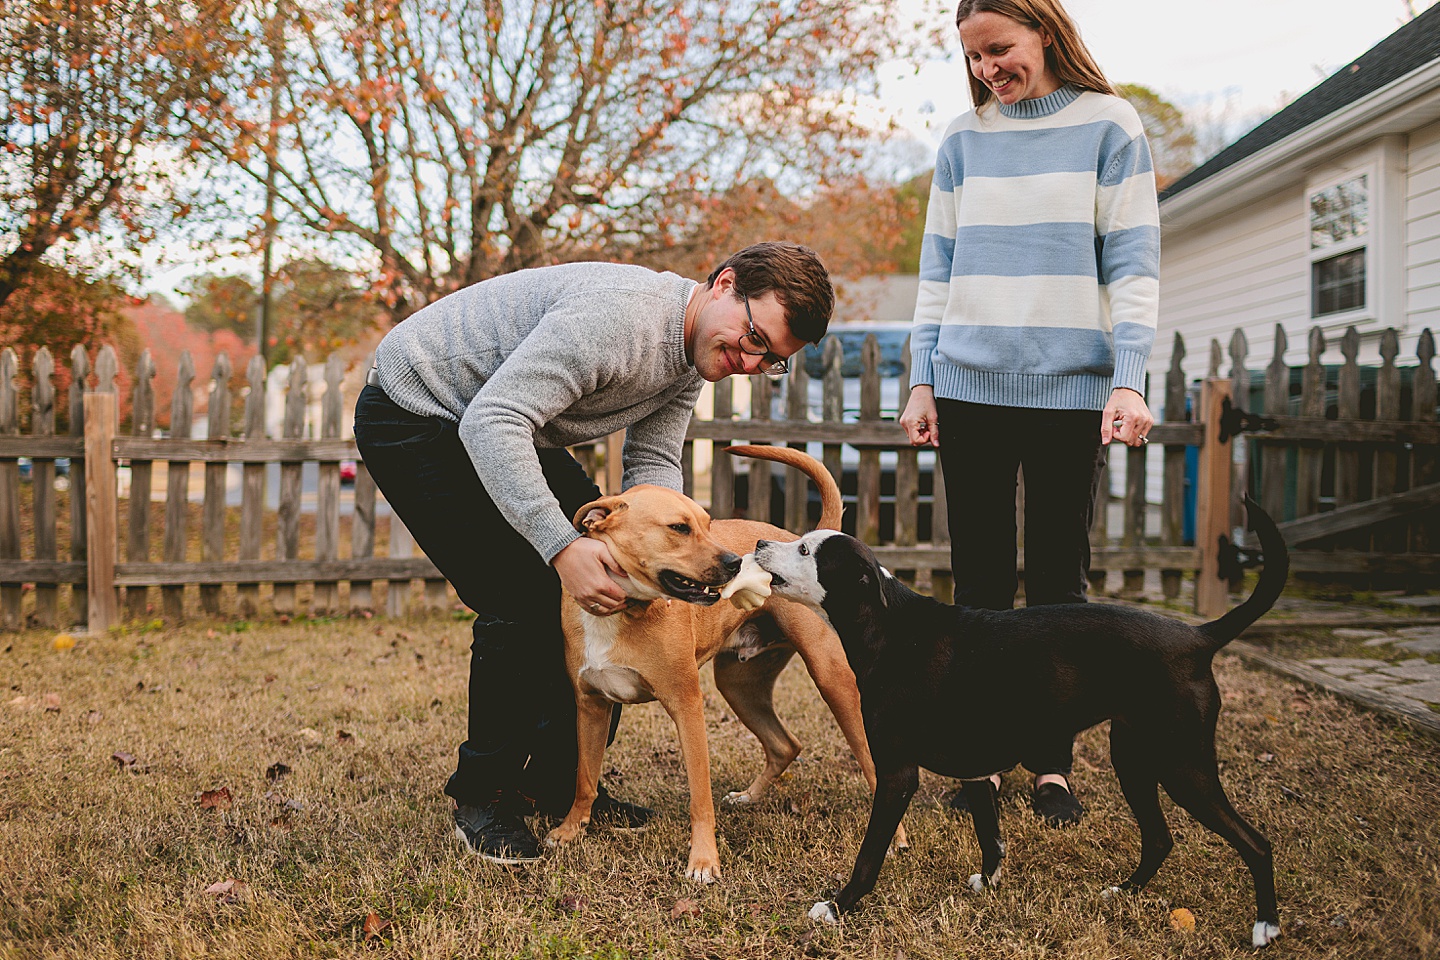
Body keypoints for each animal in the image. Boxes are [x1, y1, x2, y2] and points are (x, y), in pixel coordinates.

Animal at [544, 446, 904, 880]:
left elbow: (700, 796)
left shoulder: (687, 706)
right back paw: (749, 796)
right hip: (740, 687)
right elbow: (585, 777)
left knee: (872, 765)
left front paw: (703, 860)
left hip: (835, 684)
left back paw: (897, 839)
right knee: (785, 744)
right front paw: (570, 830)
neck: (624, 610)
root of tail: (798, 541)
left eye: (707, 525)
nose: (736, 562)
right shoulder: (590, 707)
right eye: (679, 528)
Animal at [748, 500, 1290, 949]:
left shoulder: (897, 774)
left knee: (1257, 843)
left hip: (1183, 768)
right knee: (1160, 838)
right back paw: (1123, 891)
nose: (758, 544)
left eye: (804, 548)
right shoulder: (973, 767)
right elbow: (990, 836)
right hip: (1134, 759)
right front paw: (988, 883)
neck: (891, 627)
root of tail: (1199, 637)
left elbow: (869, 855)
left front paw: (837, 907)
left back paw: (1266, 926)